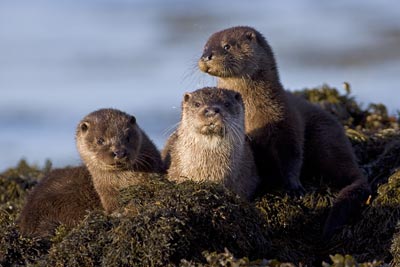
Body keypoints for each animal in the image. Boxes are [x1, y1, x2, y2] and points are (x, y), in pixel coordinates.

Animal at [198, 26, 370, 238]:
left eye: (226, 46)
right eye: (205, 47)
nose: (206, 57)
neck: (253, 111)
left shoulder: (287, 123)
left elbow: (292, 156)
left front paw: (295, 188)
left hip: (326, 137)